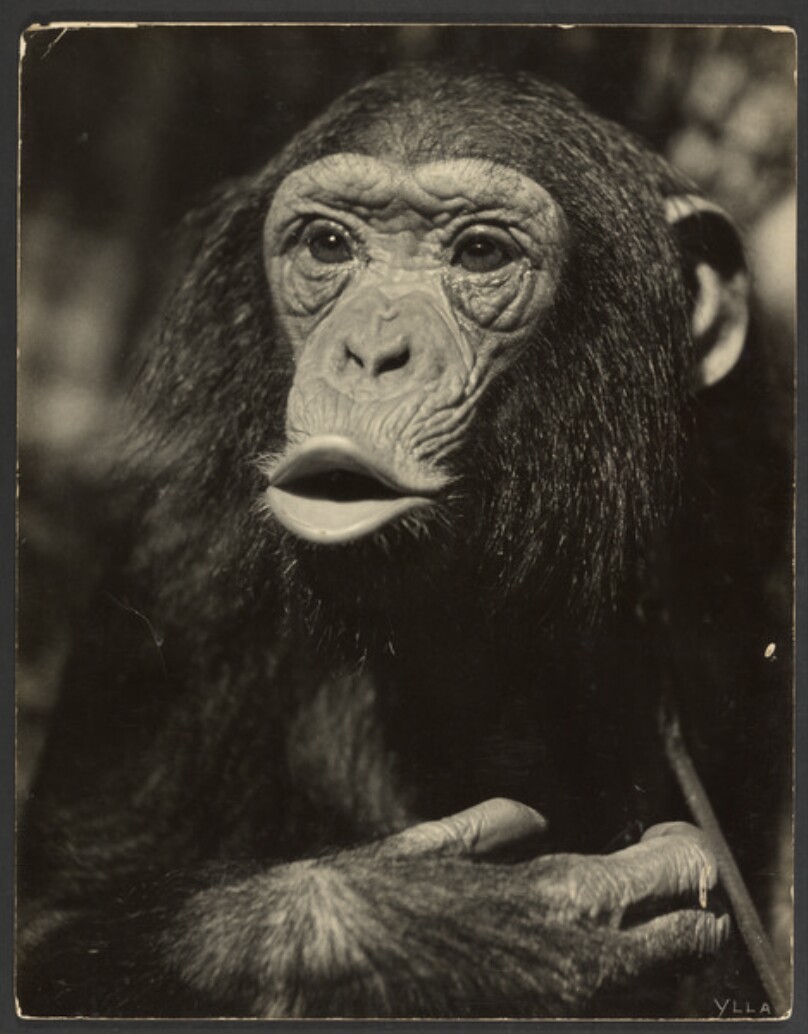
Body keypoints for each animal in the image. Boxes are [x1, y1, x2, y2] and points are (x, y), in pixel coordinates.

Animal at [17, 64, 786, 1019]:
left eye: (481, 256)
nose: (372, 351)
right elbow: (53, 920)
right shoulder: (173, 562)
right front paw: (447, 931)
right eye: (328, 246)